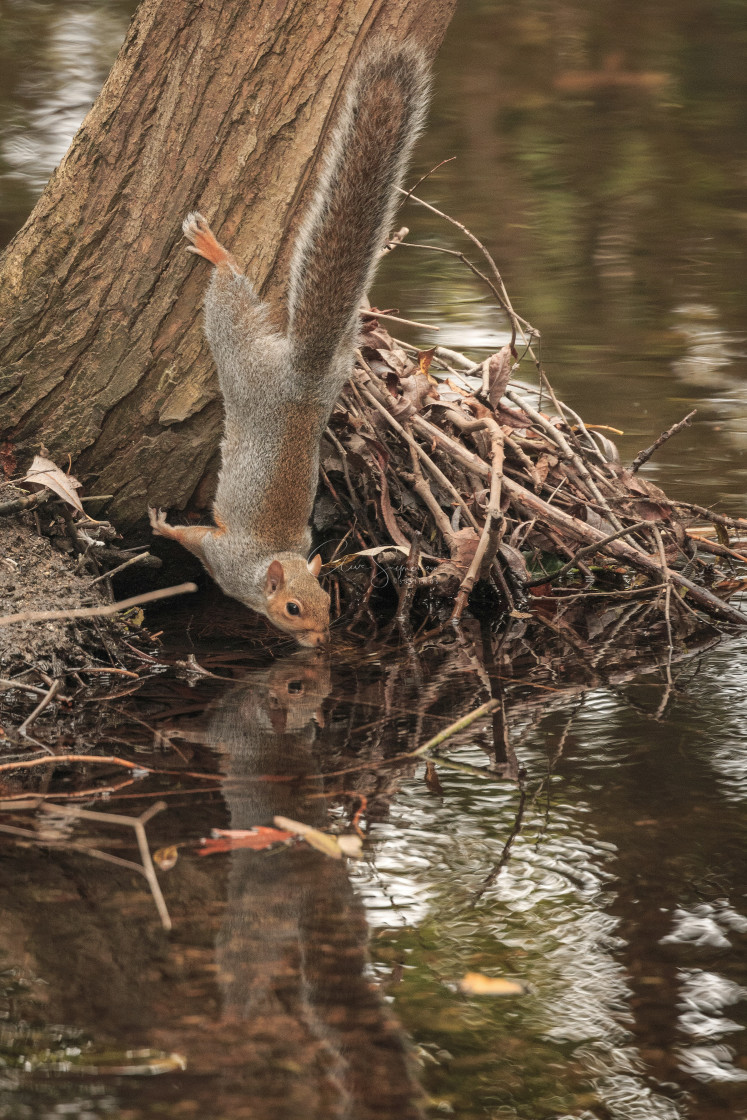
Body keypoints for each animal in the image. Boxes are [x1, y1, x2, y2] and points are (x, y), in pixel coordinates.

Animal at [148, 41, 430, 649]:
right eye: (294, 608)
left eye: (330, 601)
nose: (321, 641)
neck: (268, 565)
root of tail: (308, 370)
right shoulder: (224, 557)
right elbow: (193, 540)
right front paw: (164, 526)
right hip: (240, 356)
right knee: (228, 298)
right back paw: (215, 249)